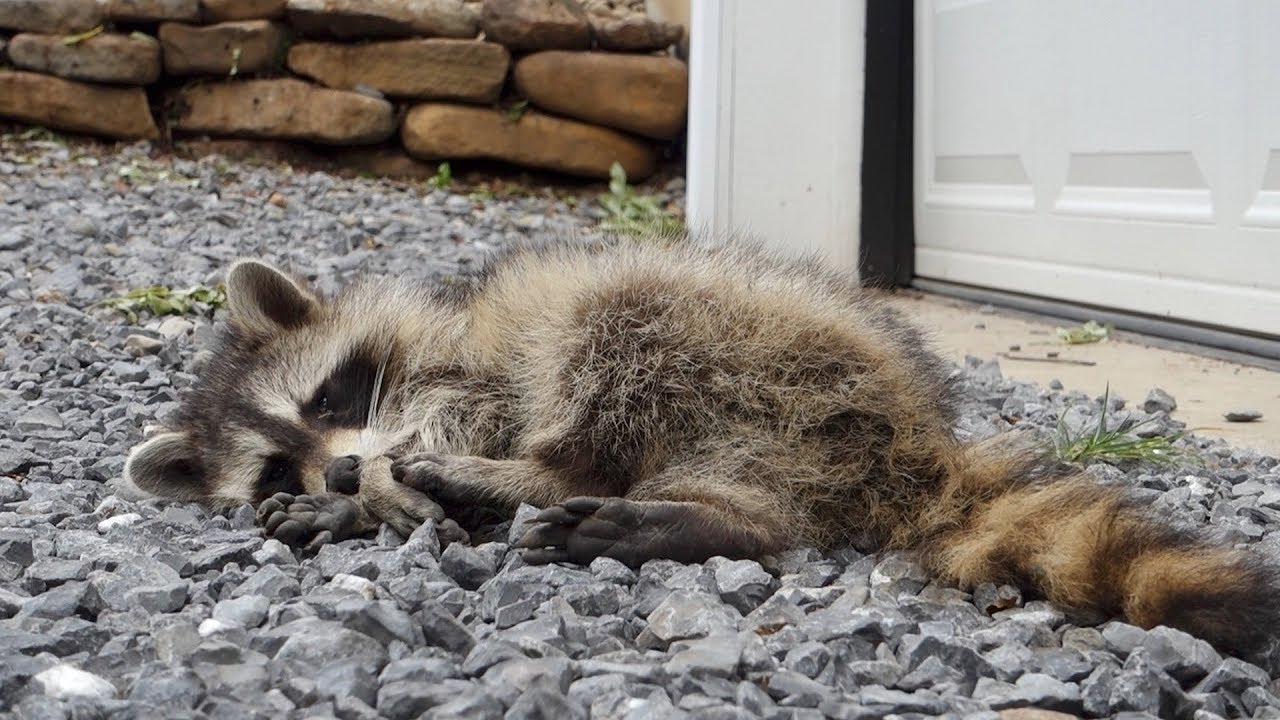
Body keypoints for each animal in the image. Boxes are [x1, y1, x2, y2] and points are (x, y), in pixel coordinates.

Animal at [125, 235, 1280, 664]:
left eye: (332, 393)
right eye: (276, 460)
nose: (339, 467)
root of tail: (917, 437)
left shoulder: (472, 366)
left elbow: (470, 407)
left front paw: (396, 486)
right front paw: (349, 502)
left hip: (744, 341)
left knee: (607, 343)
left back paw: (521, 476)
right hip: (772, 429)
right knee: (762, 516)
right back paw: (680, 518)